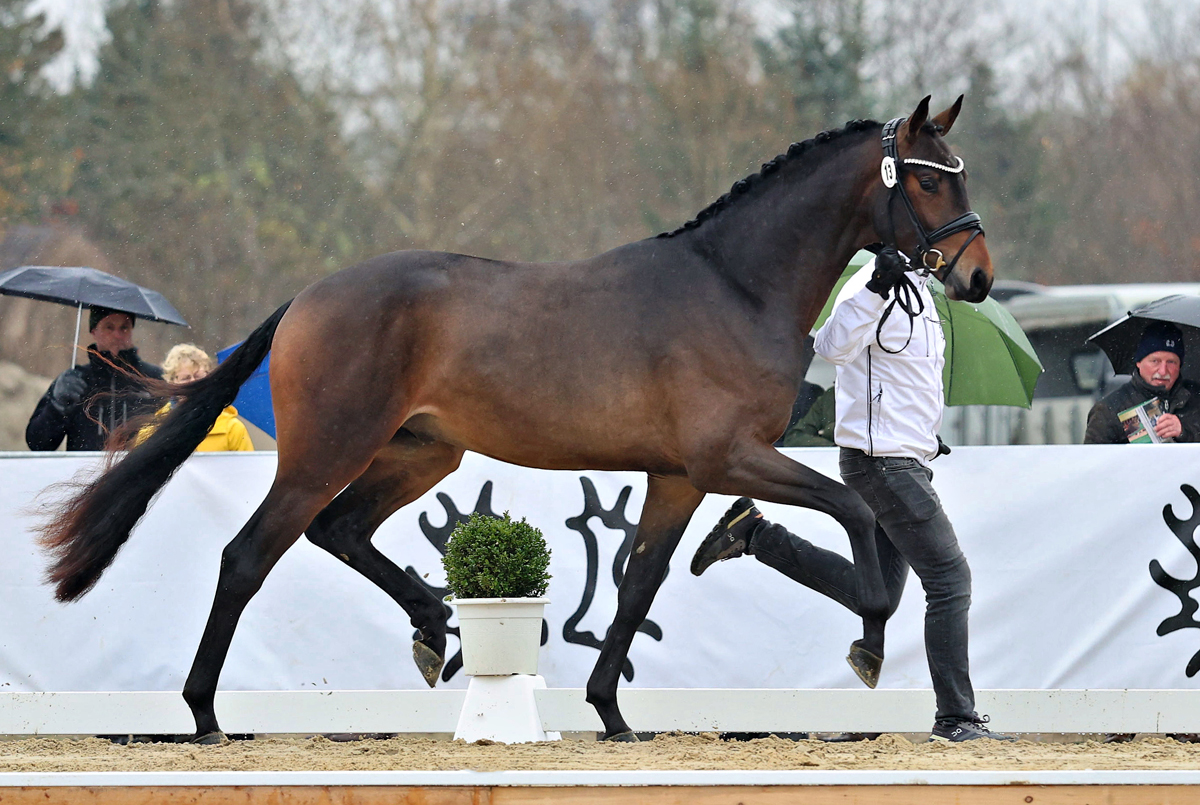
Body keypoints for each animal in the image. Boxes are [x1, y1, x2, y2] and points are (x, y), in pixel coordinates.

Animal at [37, 96, 992, 743]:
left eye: (959, 174)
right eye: (926, 180)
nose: (978, 275)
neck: (736, 284)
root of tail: (307, 297)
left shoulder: (677, 475)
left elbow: (640, 581)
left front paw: (611, 711)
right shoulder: (729, 456)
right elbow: (857, 510)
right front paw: (870, 640)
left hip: (423, 455)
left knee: (339, 531)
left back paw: (432, 627)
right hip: (325, 452)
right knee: (249, 554)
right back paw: (203, 710)